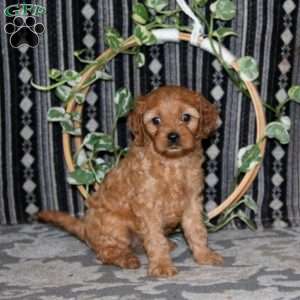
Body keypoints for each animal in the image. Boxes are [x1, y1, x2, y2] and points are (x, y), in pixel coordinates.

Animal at [38, 84, 223, 276]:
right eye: (156, 120)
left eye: (186, 117)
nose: (172, 136)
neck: (172, 162)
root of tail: (86, 228)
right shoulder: (148, 206)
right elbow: (155, 238)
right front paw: (162, 265)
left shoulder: (192, 202)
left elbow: (197, 231)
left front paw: (205, 255)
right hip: (115, 227)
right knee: (106, 252)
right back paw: (126, 259)